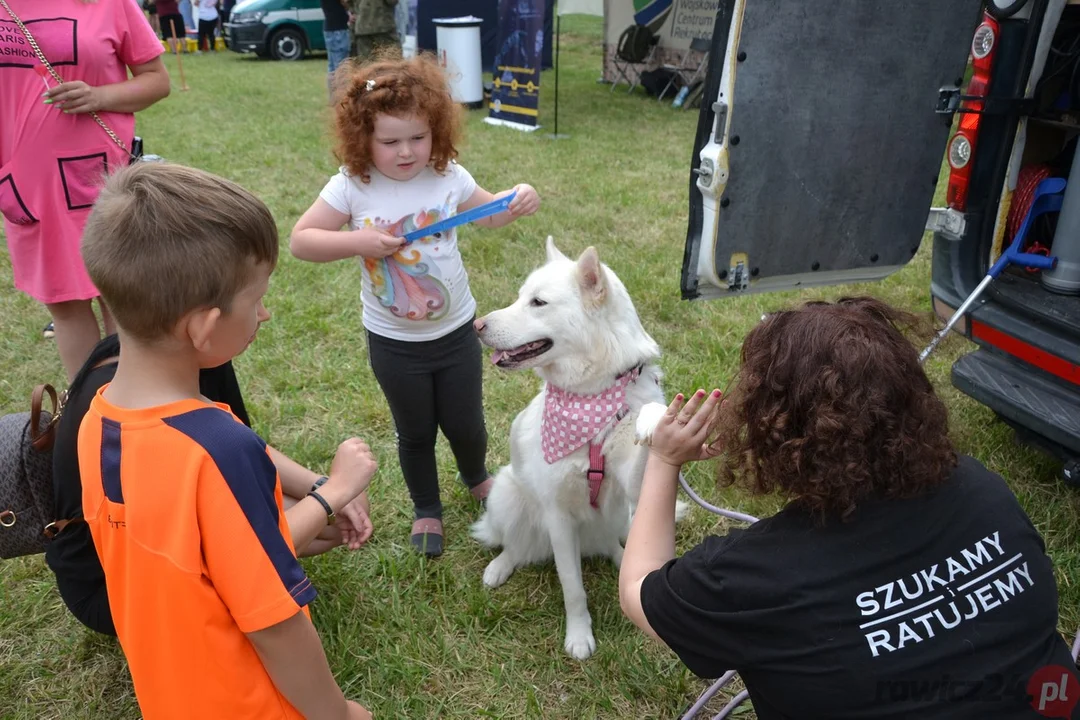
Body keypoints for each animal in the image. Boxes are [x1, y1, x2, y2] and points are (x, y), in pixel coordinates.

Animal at [470, 236, 673, 660]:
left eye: (538, 302)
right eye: (520, 297)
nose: (477, 325)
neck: (591, 398)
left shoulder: (634, 486)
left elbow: (648, 419)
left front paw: (653, 418)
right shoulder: (558, 519)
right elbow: (573, 590)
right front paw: (579, 637)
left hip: (622, 513)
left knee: (613, 540)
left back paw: (621, 558)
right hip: (507, 495)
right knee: (513, 543)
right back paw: (500, 567)